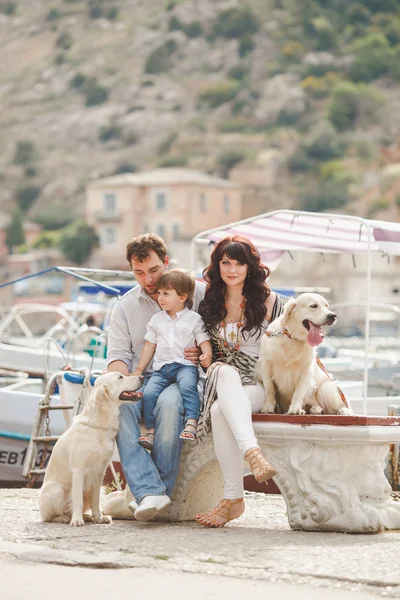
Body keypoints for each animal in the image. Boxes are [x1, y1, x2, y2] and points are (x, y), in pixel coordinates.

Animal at [38, 370, 144, 524]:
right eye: (120, 377)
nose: (142, 377)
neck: (99, 425)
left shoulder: (100, 472)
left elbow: (95, 501)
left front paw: (98, 517)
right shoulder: (78, 469)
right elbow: (77, 500)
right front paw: (76, 520)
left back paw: (86, 516)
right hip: (56, 490)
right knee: (48, 516)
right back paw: (63, 517)